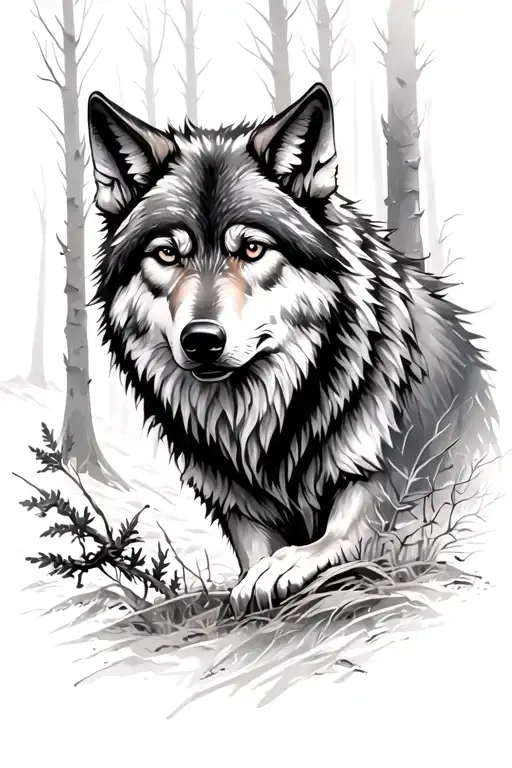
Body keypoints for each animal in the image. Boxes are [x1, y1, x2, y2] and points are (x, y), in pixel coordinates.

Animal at [87, 83, 496, 616]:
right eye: (168, 253)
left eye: (252, 249)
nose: (202, 340)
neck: (264, 424)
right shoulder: (239, 507)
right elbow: (256, 553)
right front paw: (257, 575)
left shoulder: (386, 481)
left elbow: (340, 535)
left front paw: (282, 568)